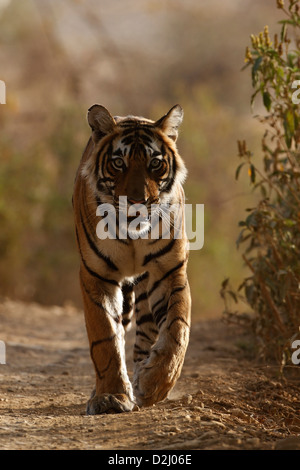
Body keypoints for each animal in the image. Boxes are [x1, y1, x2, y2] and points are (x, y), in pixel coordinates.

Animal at [72, 103, 192, 414]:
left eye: (155, 164)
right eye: (118, 163)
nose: (138, 201)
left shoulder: (169, 271)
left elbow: (177, 330)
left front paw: (155, 382)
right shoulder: (97, 275)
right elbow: (105, 337)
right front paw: (110, 397)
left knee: (147, 334)